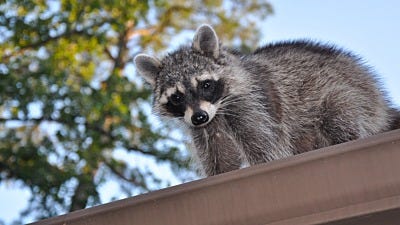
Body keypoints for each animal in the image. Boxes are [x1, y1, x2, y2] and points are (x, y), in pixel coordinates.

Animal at [134, 24, 400, 176]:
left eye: (205, 85)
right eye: (177, 97)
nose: (199, 117)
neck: (218, 108)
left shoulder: (253, 105)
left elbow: (267, 148)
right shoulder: (206, 128)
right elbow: (220, 161)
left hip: (354, 96)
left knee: (339, 114)